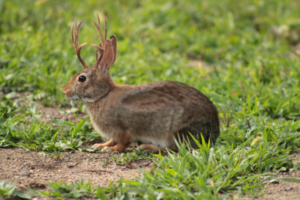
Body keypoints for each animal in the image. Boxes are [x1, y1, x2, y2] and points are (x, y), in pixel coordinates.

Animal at [62, 14, 219, 153]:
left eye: (81, 78)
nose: (64, 91)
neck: (103, 95)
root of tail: (214, 130)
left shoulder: (123, 129)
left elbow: (123, 143)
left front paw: (110, 149)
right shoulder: (114, 133)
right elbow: (112, 140)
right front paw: (100, 145)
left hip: (176, 131)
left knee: (176, 148)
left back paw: (147, 147)